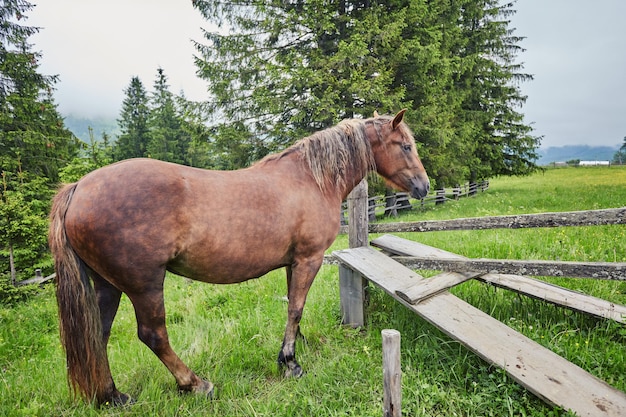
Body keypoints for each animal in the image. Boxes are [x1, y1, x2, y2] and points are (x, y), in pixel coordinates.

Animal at [48, 109, 426, 404]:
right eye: (406, 146)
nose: (423, 186)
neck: (310, 180)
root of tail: (78, 189)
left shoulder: (294, 263)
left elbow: (294, 305)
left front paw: (295, 346)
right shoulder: (309, 258)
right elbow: (296, 307)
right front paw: (290, 362)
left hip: (108, 285)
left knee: (98, 335)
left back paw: (112, 396)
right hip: (145, 285)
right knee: (153, 335)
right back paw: (195, 384)